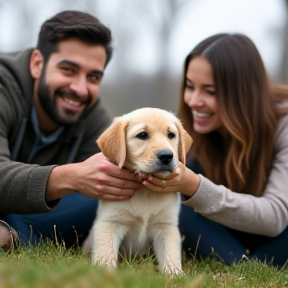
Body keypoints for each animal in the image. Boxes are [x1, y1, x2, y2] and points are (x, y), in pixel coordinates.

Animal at [86, 107, 192, 274]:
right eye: (142, 135)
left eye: (171, 135)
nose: (167, 156)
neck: (144, 191)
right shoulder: (110, 222)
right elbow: (106, 253)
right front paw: (104, 273)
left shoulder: (166, 226)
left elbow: (170, 255)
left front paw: (175, 275)